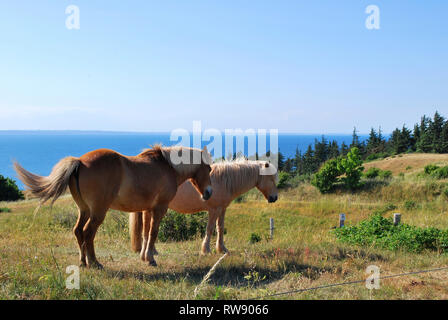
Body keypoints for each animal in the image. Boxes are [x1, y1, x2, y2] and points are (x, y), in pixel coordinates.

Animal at [14, 145, 214, 268]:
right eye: (209, 169)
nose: (209, 193)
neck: (167, 167)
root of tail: (79, 161)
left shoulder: (147, 209)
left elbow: (145, 233)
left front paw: (144, 257)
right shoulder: (159, 208)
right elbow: (153, 233)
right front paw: (150, 259)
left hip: (84, 210)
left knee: (78, 231)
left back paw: (83, 262)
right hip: (98, 212)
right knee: (88, 233)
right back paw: (95, 263)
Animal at [129, 158, 276, 258]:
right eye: (271, 178)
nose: (274, 198)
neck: (224, 180)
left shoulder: (222, 209)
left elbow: (220, 228)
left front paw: (222, 249)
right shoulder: (214, 210)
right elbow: (209, 229)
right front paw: (206, 250)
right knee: (147, 228)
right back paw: (151, 251)